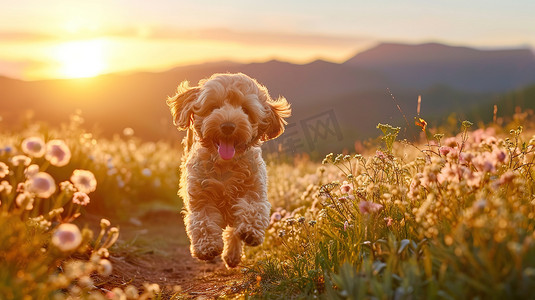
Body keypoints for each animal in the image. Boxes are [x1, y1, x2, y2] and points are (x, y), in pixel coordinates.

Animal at [169, 72, 292, 268]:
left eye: (245, 110)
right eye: (213, 107)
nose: (228, 126)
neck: (224, 164)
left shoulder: (254, 190)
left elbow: (252, 209)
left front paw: (250, 232)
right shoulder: (200, 197)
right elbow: (202, 221)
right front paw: (207, 247)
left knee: (233, 230)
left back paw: (233, 255)